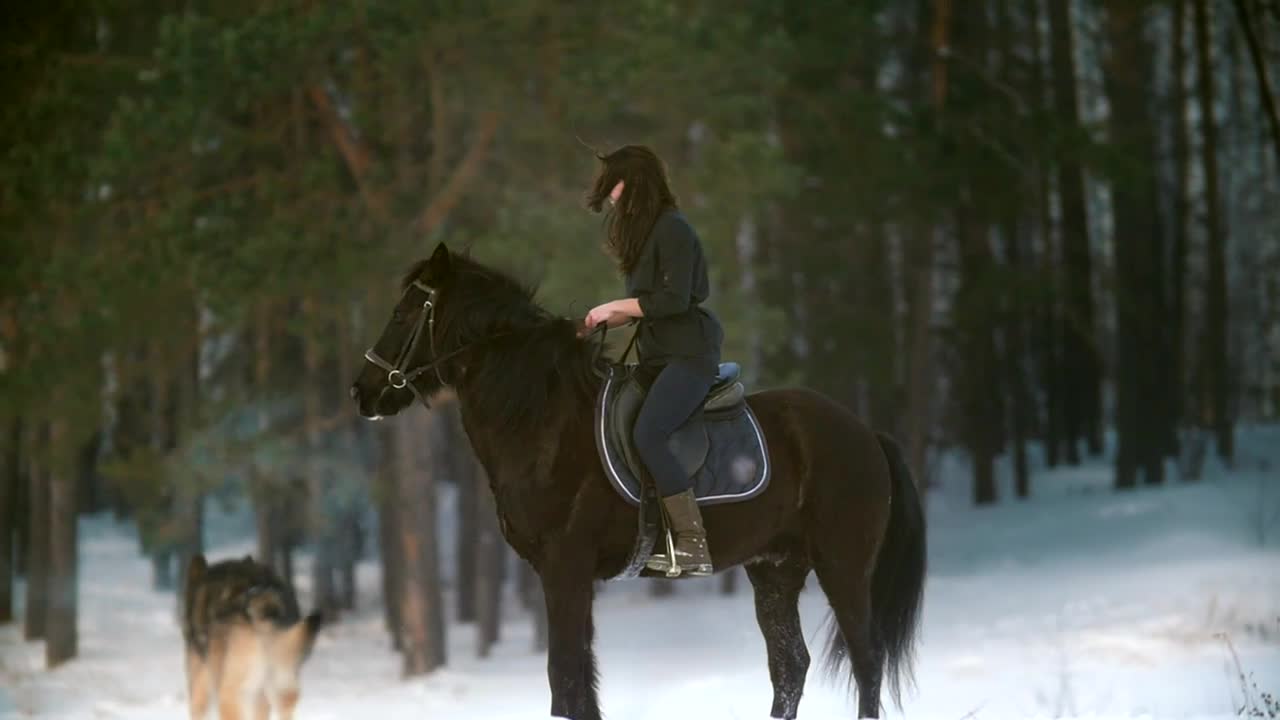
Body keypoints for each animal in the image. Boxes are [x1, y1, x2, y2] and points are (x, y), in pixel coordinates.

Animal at [349, 242, 927, 719]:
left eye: (402, 313)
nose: (362, 391)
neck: (542, 419)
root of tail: (865, 433)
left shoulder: (565, 569)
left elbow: (565, 681)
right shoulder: (564, 576)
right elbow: (580, 685)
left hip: (842, 566)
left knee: (866, 661)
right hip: (776, 570)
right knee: (790, 668)